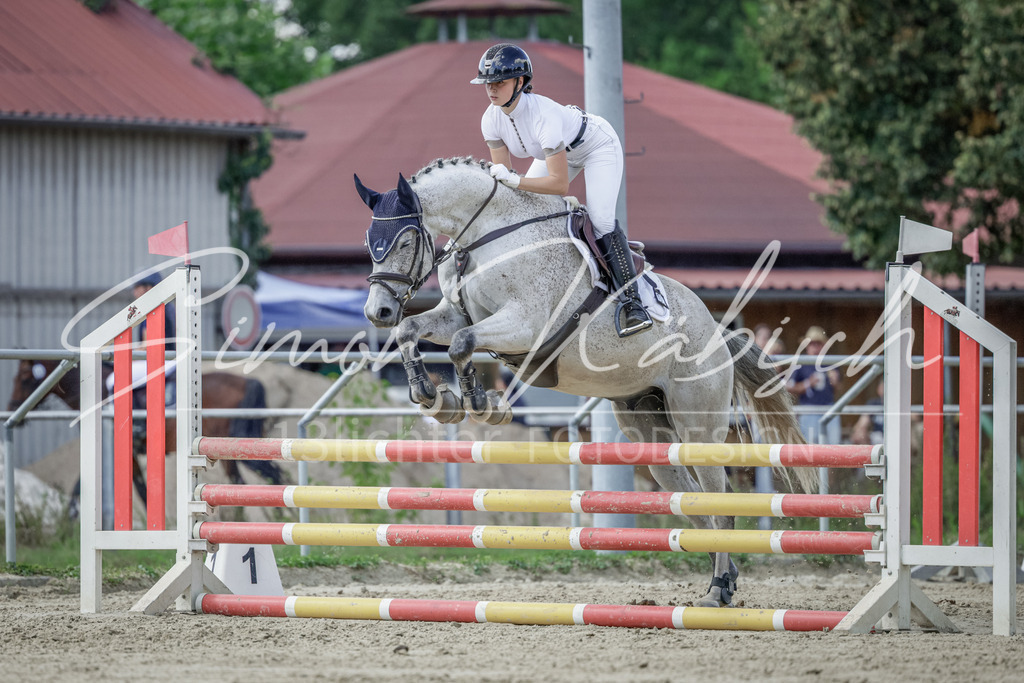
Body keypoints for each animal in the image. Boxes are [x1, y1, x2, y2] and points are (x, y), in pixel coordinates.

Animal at [7, 359, 284, 517]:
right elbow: (140, 490)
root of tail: (249, 381)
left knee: (272, 475)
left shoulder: (123, 452)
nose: (11, 409)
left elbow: (81, 485)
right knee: (245, 481)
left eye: (25, 378)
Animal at [354, 156, 815, 608]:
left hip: (699, 424)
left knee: (720, 502)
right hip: (647, 429)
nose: (377, 312)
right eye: (369, 243)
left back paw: (718, 590)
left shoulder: (525, 324)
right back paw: (726, 579)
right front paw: (432, 396)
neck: (489, 235)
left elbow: (462, 343)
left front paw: (482, 403)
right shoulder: (457, 315)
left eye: (405, 243)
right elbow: (414, 331)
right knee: (692, 504)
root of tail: (719, 333)